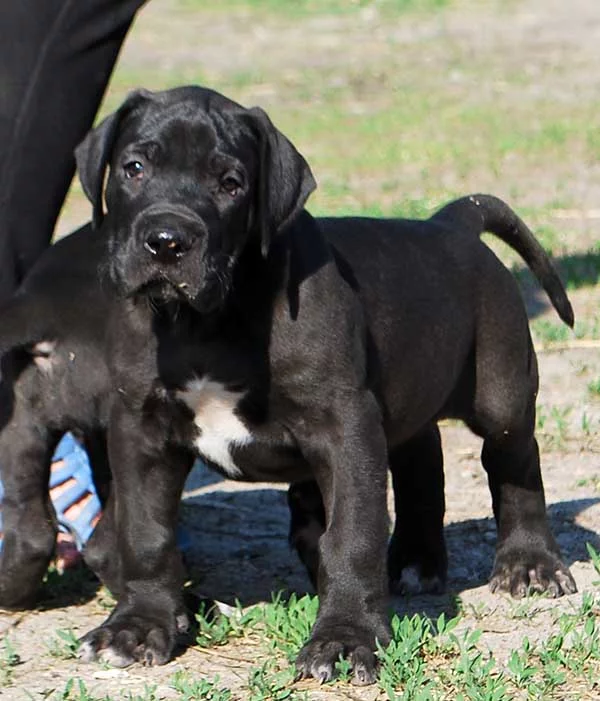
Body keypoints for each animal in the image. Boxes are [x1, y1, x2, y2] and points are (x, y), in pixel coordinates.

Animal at [70, 86, 575, 684]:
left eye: (231, 184)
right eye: (134, 168)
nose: (167, 242)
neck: (206, 323)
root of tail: (450, 224)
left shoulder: (345, 426)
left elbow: (352, 536)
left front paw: (345, 638)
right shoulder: (140, 429)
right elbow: (144, 531)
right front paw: (139, 624)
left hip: (501, 385)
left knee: (514, 461)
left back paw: (529, 564)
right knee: (421, 457)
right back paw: (416, 560)